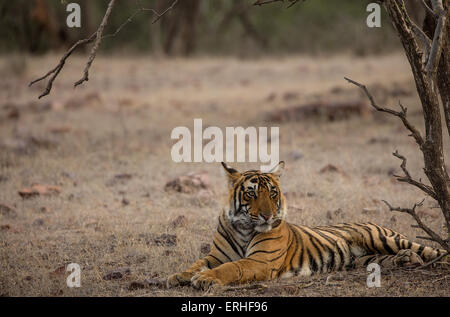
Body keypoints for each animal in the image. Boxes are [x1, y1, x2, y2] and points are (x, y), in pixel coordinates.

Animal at [167, 160, 448, 288]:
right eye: (251, 193)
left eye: (272, 193)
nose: (267, 216)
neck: (244, 227)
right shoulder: (216, 255)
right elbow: (197, 263)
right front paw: (179, 275)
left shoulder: (259, 261)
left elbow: (232, 267)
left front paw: (205, 278)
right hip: (366, 259)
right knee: (392, 258)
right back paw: (406, 260)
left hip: (381, 237)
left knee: (432, 250)